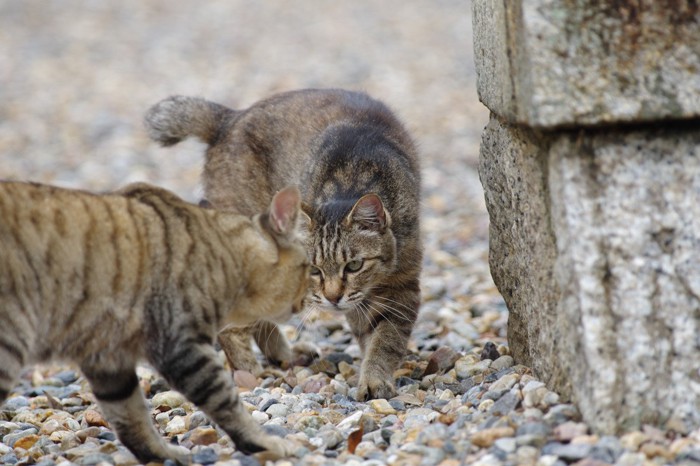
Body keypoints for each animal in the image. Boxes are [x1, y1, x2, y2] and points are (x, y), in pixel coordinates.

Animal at [0, 180, 306, 464]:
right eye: (311, 270)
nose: (306, 301)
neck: (223, 254)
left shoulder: (109, 361)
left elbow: (131, 416)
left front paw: (160, 453)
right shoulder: (181, 346)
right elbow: (226, 401)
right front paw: (263, 442)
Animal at [145, 90, 422, 400]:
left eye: (354, 265)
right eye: (314, 270)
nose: (333, 298)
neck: (352, 179)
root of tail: (229, 118)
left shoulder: (400, 285)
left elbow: (384, 339)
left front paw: (373, 376)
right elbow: (382, 338)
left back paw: (285, 357)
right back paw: (250, 374)